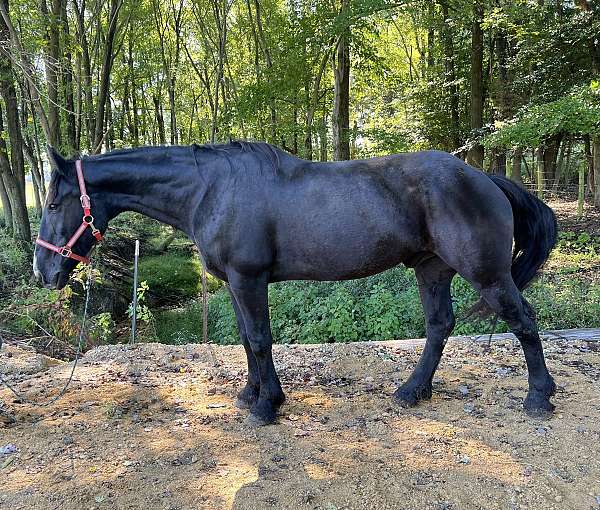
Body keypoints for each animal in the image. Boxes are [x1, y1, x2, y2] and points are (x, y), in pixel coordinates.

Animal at [32, 143, 556, 426]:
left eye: (54, 203)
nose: (44, 271)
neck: (210, 191)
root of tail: (483, 177)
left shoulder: (249, 279)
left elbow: (260, 339)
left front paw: (267, 406)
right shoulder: (236, 283)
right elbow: (247, 340)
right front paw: (253, 395)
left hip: (487, 275)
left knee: (524, 321)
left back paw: (539, 396)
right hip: (431, 270)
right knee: (440, 326)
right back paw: (412, 390)